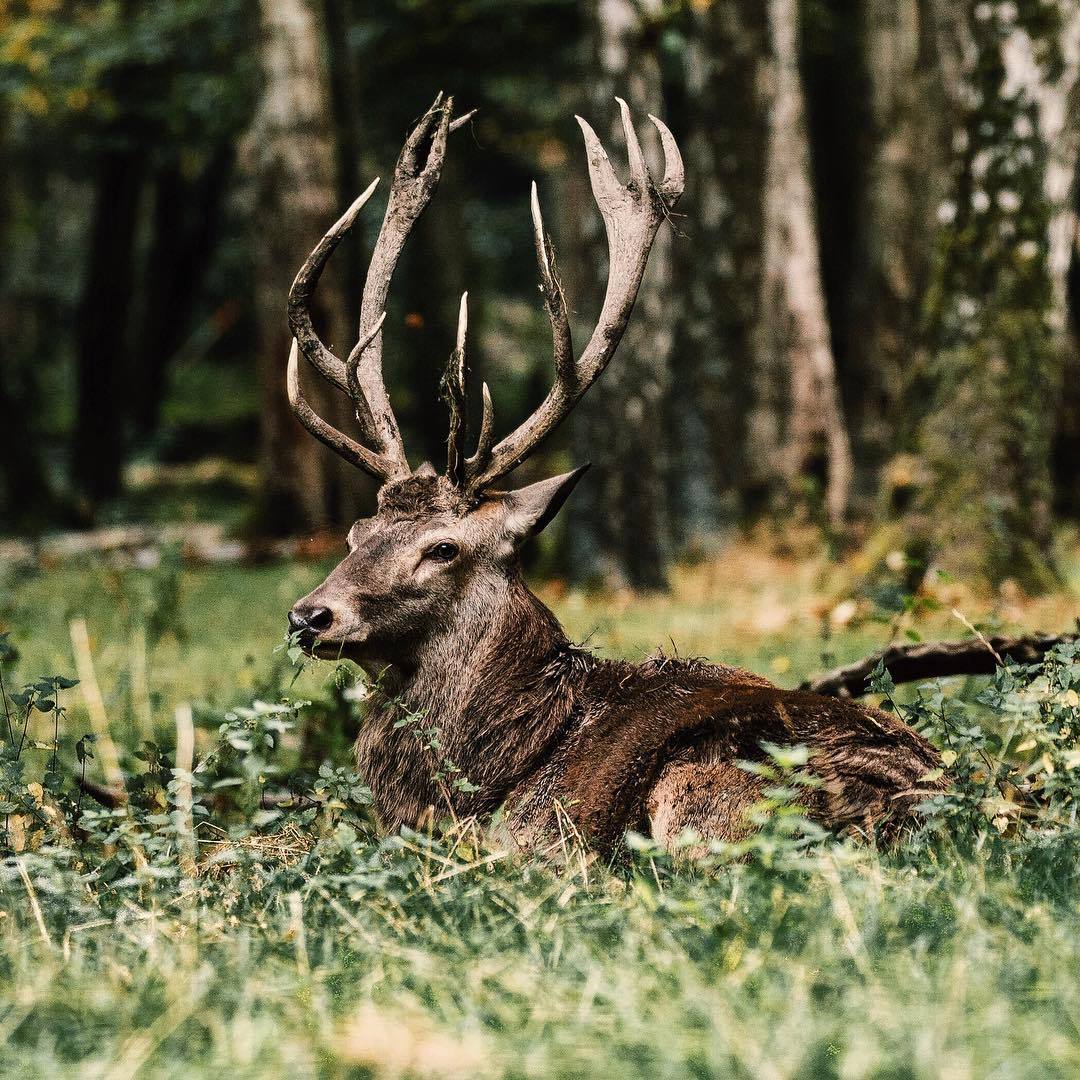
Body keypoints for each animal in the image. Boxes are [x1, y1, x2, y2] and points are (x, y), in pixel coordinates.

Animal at [282, 97, 941, 855]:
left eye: (443, 547)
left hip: (708, 789)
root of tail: (936, 806)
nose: (309, 615)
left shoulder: (534, 837)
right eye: (358, 533)